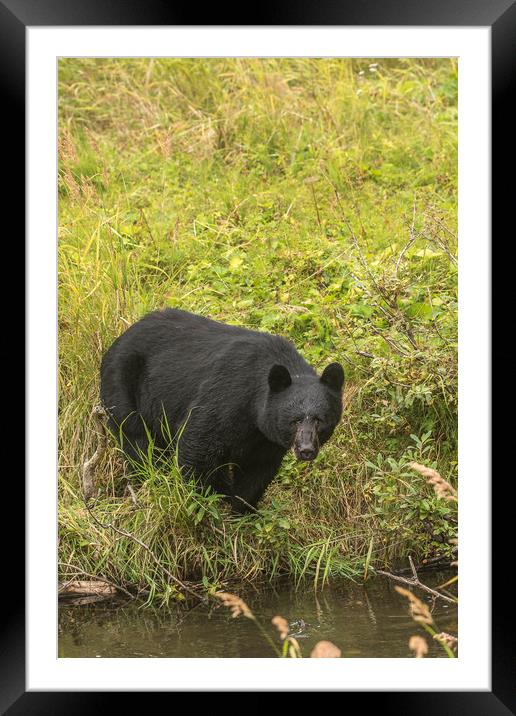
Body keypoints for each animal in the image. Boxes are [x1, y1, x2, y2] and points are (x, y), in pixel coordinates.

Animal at [100, 310, 342, 512]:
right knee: (137, 441)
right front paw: (207, 504)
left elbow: (258, 470)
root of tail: (120, 337)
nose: (306, 450)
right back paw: (153, 479)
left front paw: (242, 510)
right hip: (123, 388)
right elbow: (197, 447)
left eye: (320, 420)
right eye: (295, 420)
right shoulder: (226, 397)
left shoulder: (266, 438)